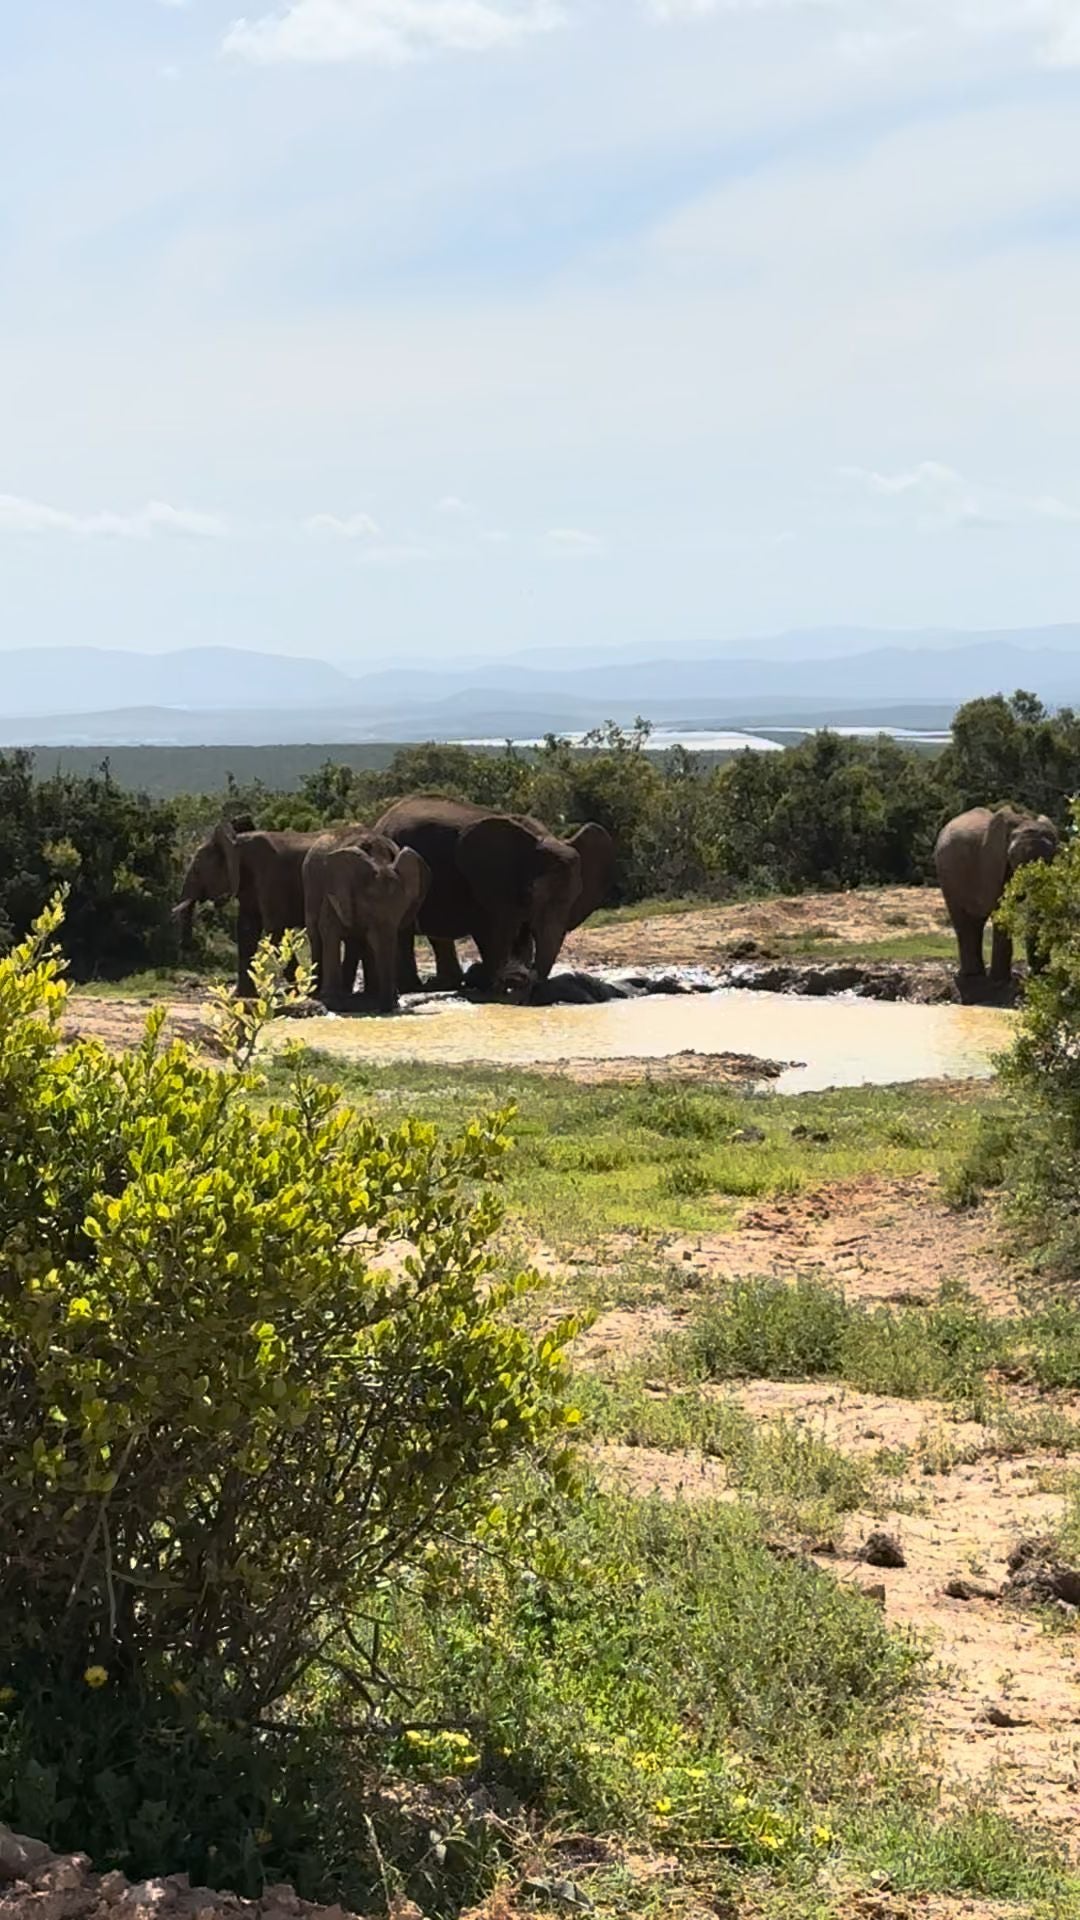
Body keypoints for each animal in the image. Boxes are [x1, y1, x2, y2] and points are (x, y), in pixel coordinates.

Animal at [299, 833, 426, 1013]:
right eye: (368, 910)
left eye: (401, 912)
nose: (389, 1006)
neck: (379, 860)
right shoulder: (334, 892)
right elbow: (329, 930)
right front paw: (333, 1003)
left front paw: (375, 998)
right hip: (309, 889)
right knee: (315, 936)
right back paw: (318, 993)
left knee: (357, 943)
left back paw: (359, 993)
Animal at [372, 794, 614, 998]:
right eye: (532, 892)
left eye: (576, 897)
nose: (526, 977)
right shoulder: (486, 883)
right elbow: (492, 931)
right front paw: (495, 985)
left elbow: (521, 934)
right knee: (403, 931)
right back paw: (414, 987)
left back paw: (444, 984)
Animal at [930, 802, 1053, 983]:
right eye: (1013, 858)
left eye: (1051, 859)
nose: (1034, 973)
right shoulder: (992, 863)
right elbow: (1001, 907)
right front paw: (1001, 980)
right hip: (947, 876)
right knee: (962, 918)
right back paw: (971, 975)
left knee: (976, 920)